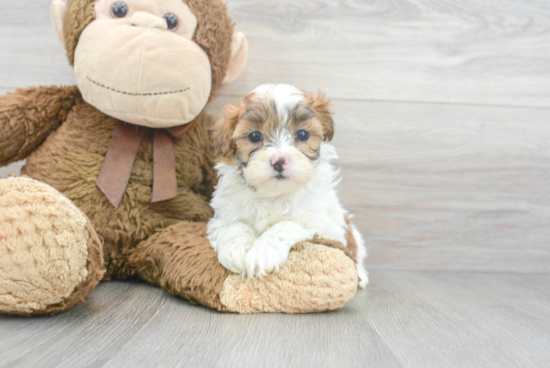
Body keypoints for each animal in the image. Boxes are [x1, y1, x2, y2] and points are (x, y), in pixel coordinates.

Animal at [208, 83, 370, 288]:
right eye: (255, 136)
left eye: (302, 134)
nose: (279, 161)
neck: (274, 194)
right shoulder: (223, 216)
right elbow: (234, 226)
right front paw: (235, 250)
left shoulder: (324, 228)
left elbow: (288, 224)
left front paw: (264, 252)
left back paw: (361, 276)